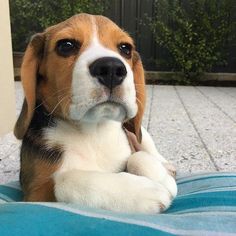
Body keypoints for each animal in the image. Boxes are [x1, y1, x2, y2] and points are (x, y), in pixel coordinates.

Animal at [14, 13, 177, 215]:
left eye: (125, 49)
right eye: (66, 45)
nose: (112, 69)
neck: (93, 131)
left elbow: (136, 156)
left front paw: (163, 180)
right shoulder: (34, 194)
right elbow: (63, 179)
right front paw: (143, 191)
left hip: (141, 133)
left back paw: (166, 167)